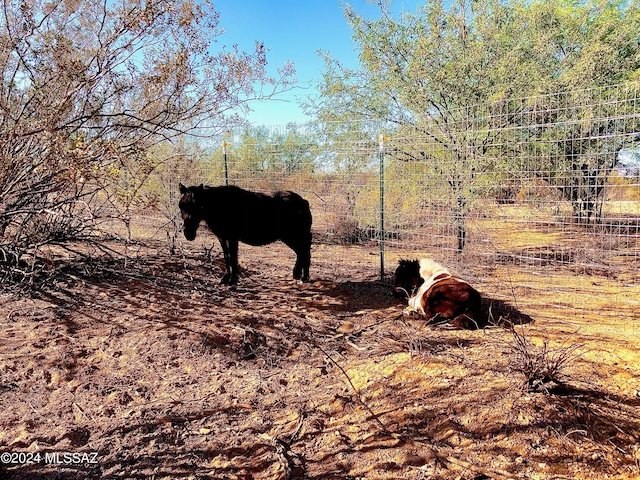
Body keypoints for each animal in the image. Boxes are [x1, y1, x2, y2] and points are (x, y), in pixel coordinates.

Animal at [179, 185, 312, 288]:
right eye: (181, 206)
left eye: (198, 206)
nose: (188, 233)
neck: (221, 205)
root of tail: (304, 202)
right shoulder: (222, 238)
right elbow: (227, 257)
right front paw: (225, 279)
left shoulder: (232, 238)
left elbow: (233, 258)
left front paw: (233, 281)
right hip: (291, 237)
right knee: (302, 253)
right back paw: (299, 275)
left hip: (294, 236)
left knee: (304, 252)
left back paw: (303, 277)